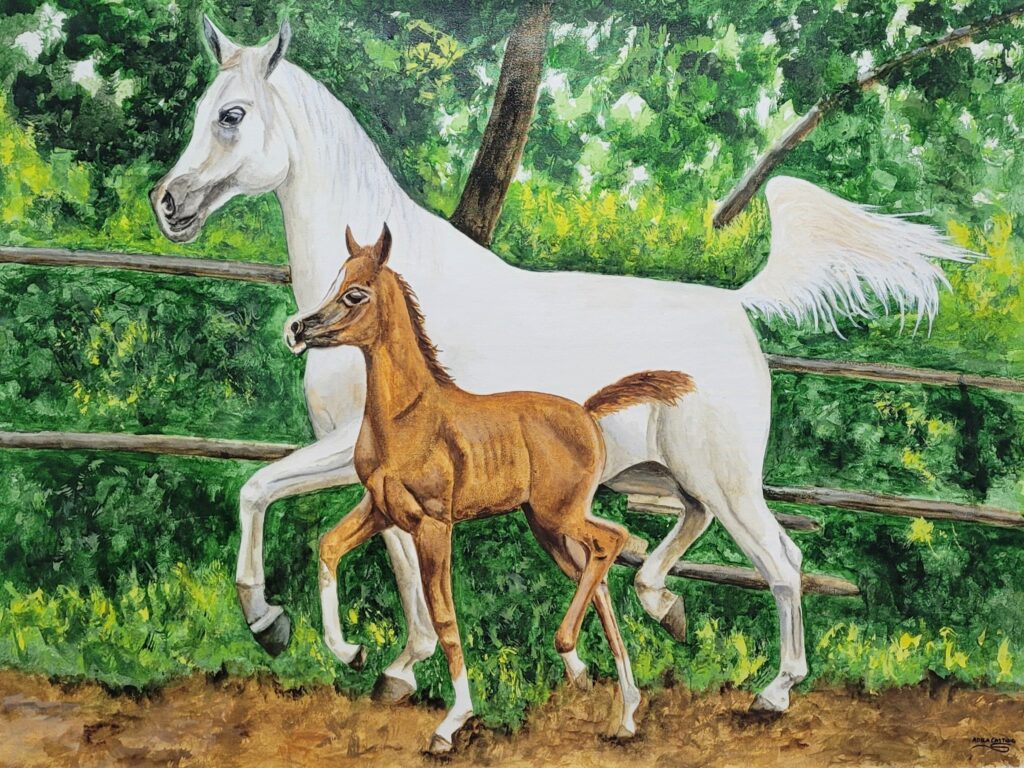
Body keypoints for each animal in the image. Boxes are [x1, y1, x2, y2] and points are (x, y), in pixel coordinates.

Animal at [286, 223, 695, 752]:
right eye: (335, 281)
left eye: (355, 293)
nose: (297, 329)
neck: (405, 418)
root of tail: (587, 412)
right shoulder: (380, 509)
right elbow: (329, 547)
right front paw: (349, 652)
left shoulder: (433, 524)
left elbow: (443, 615)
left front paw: (452, 722)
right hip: (545, 526)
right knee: (599, 576)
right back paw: (622, 711)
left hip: (560, 514)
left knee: (614, 539)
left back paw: (577, 653)